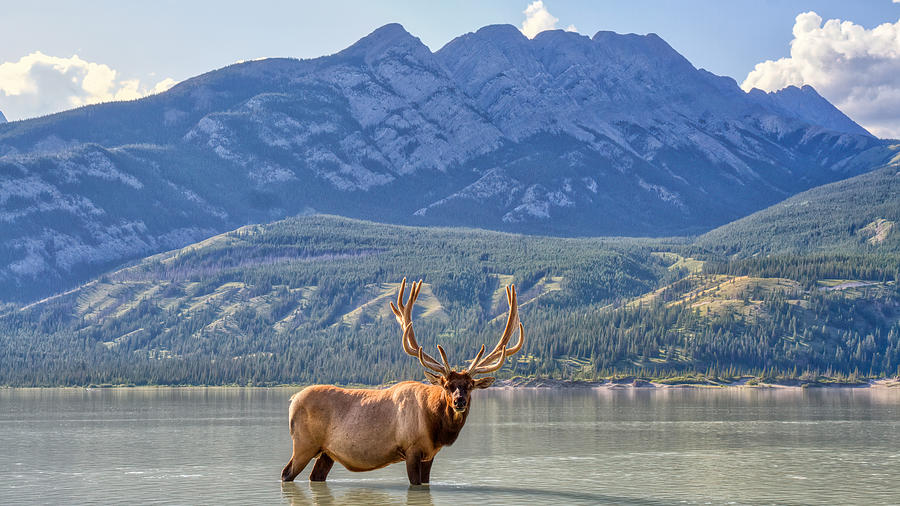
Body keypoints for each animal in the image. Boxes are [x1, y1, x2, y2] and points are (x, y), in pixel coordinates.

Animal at [280, 278, 520, 484]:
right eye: (446, 386)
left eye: (470, 386)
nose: (459, 401)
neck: (434, 425)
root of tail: (292, 399)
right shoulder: (411, 449)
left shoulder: (430, 455)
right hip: (303, 444)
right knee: (286, 473)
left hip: (327, 453)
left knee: (315, 476)